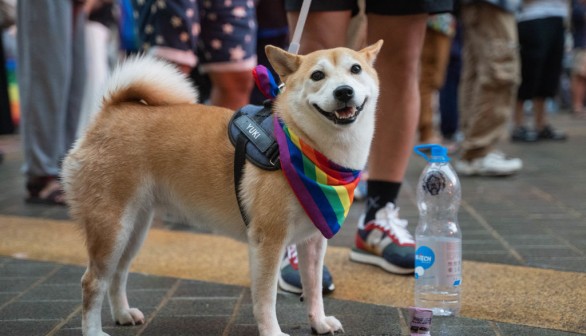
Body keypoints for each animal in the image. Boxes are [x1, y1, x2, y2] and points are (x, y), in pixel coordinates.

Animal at [62, 41, 384, 336]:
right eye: (317, 75)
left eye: (355, 69)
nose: (344, 91)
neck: (304, 146)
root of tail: (110, 111)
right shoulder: (268, 240)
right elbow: (265, 299)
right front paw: (273, 332)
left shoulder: (314, 239)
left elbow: (314, 288)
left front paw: (319, 322)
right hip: (112, 227)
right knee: (92, 282)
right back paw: (93, 331)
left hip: (134, 229)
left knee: (117, 273)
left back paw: (123, 314)